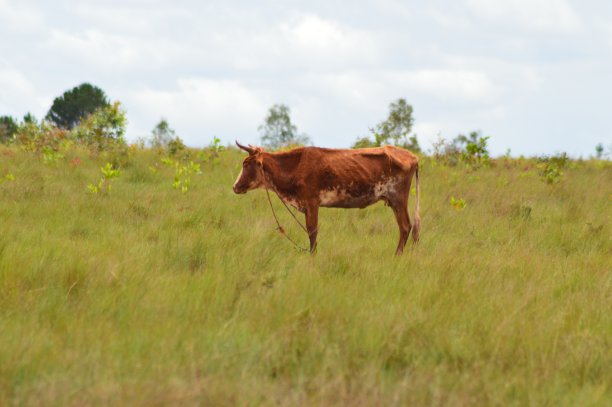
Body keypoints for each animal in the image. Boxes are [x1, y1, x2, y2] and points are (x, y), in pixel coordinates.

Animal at [232, 143, 418, 255]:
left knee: (405, 227)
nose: (235, 186)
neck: (295, 166)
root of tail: (413, 157)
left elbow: (312, 232)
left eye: (246, 164)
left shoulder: (312, 202)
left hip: (398, 199)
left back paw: (397, 256)